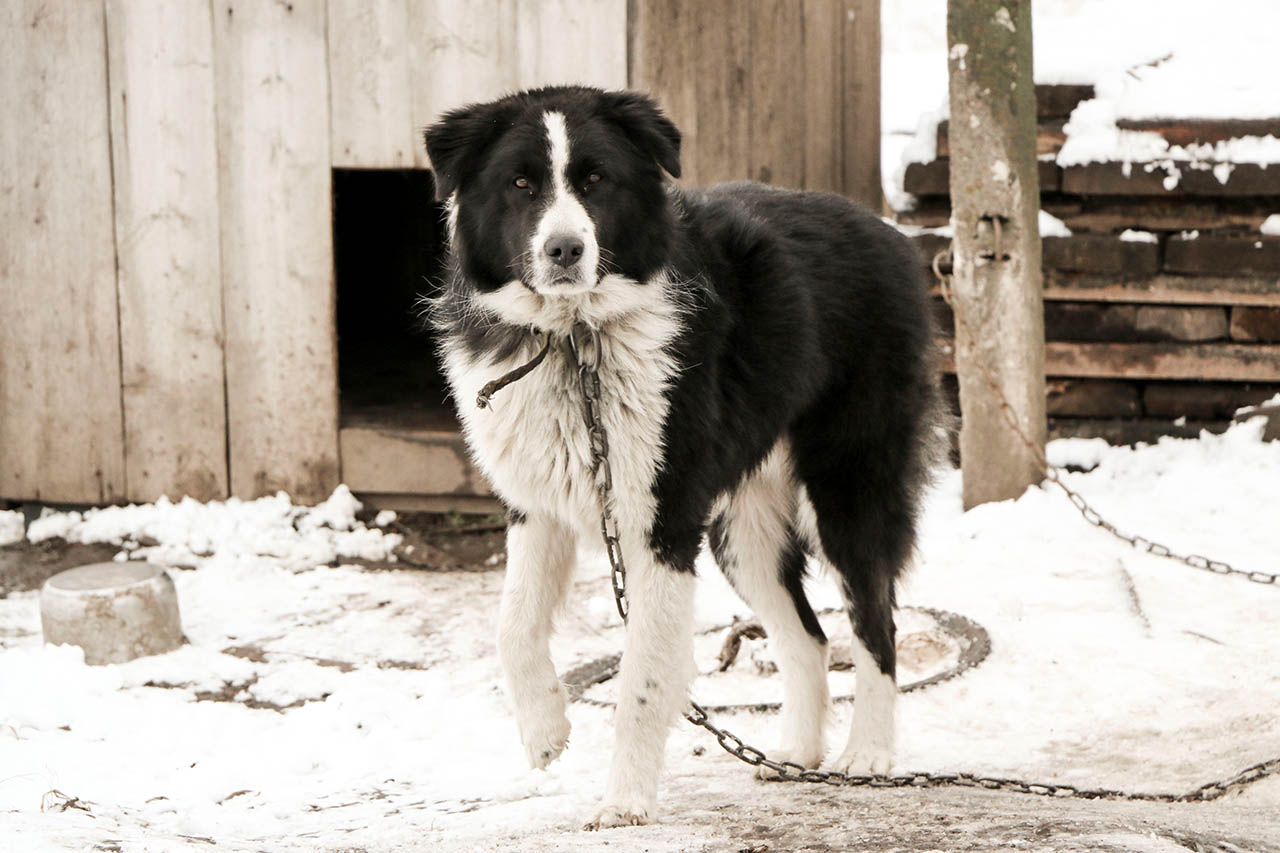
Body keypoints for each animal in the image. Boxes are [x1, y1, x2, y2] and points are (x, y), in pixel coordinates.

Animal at [424, 86, 936, 824]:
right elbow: (512, 627)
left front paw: (625, 803)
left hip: (848, 487)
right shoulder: (536, 507)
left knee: (875, 621)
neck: (575, 337)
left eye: (595, 180)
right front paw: (546, 730)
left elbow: (640, 680)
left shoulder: (659, 524)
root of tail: (888, 232)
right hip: (741, 529)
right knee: (808, 636)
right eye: (520, 184)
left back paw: (867, 753)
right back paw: (795, 755)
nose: (564, 249)